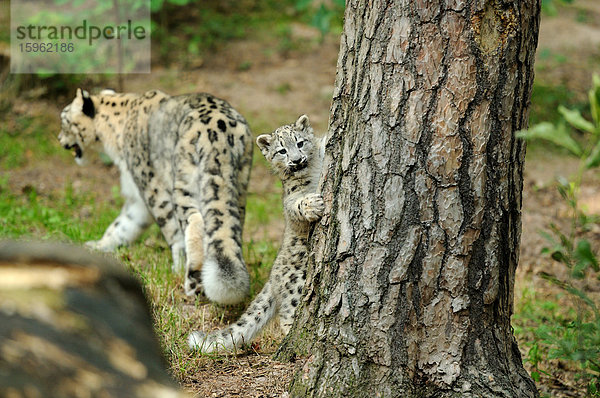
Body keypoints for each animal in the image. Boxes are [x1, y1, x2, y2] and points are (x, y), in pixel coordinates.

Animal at [57, 88, 252, 304]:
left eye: (64, 120)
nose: (58, 139)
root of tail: (220, 132)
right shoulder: (137, 201)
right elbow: (123, 224)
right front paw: (98, 246)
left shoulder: (151, 187)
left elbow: (171, 231)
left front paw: (177, 267)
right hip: (240, 184)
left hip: (183, 182)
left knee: (194, 222)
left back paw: (193, 279)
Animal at [190, 113, 326, 352]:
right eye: (282, 150)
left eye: (300, 143)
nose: (296, 160)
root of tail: (272, 277)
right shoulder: (291, 198)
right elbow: (296, 205)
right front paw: (311, 205)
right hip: (296, 286)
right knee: (287, 315)